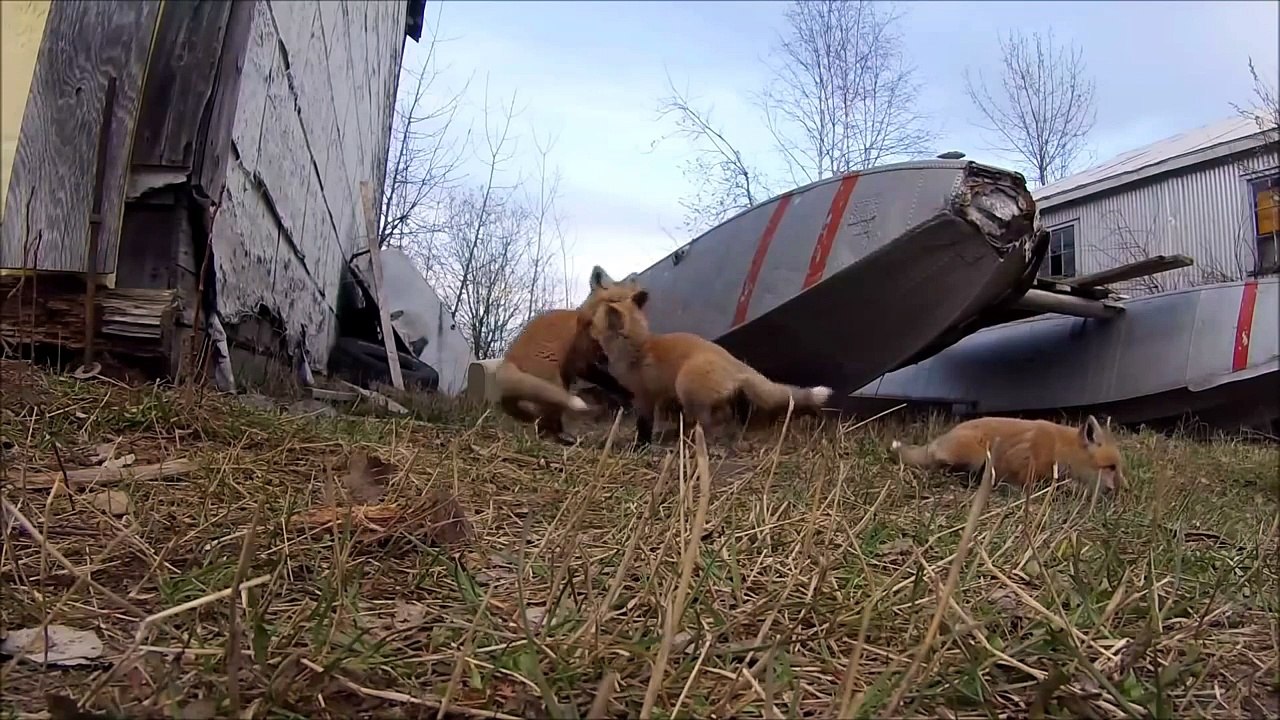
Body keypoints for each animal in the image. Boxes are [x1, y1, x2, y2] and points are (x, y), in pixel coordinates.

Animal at [494, 266, 647, 443]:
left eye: (635, 301)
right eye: (615, 301)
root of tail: (507, 361)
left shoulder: (584, 365)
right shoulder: (581, 362)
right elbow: (609, 380)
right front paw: (626, 394)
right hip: (555, 382)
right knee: (547, 418)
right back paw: (557, 437)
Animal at [585, 294, 833, 446]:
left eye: (593, 325)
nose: (585, 330)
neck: (638, 347)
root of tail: (735, 362)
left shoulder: (644, 397)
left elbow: (644, 425)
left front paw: (641, 445)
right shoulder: (661, 396)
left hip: (686, 388)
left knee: (708, 422)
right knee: (731, 411)